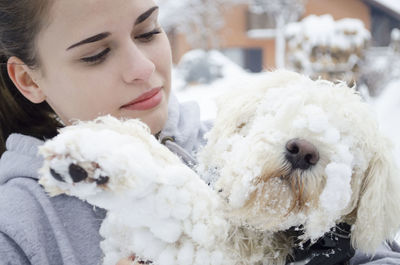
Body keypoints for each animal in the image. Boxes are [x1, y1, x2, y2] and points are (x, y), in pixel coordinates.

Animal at [37, 69, 400, 262]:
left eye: (351, 146)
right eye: (281, 109)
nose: (303, 150)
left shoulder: (215, 249)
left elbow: (187, 200)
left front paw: (104, 159)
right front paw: (103, 143)